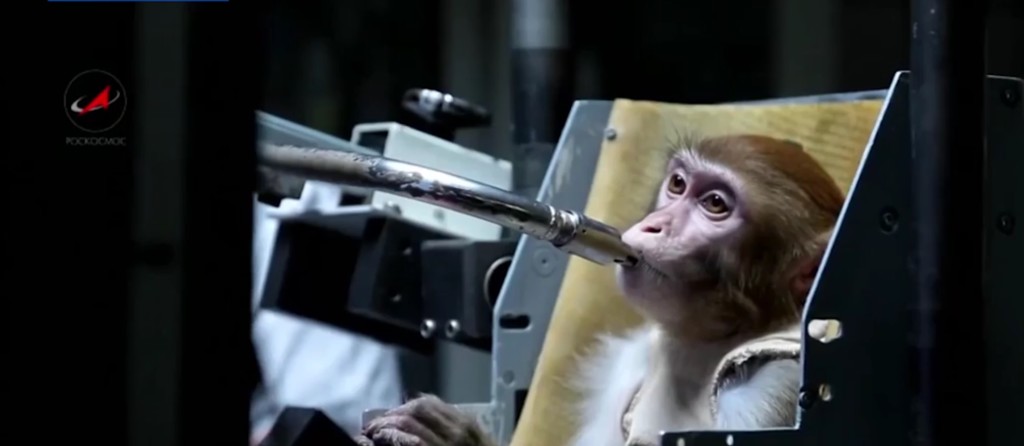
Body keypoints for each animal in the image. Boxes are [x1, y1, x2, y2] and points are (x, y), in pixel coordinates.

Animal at [354, 134, 845, 446]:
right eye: (678, 184)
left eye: (715, 204)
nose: (653, 225)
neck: (704, 347)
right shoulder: (626, 366)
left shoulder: (776, 388)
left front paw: (459, 439)